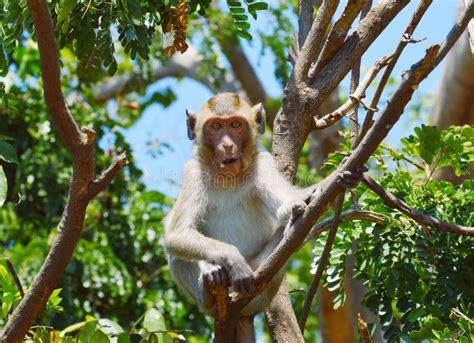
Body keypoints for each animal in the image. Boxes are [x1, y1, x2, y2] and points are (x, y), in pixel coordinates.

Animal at [164, 92, 366, 342]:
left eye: (236, 124)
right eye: (216, 126)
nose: (227, 145)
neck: (227, 176)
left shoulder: (265, 163)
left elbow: (292, 202)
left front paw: (343, 176)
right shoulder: (192, 171)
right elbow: (176, 235)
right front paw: (232, 260)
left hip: (262, 284)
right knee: (177, 256)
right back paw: (211, 284)